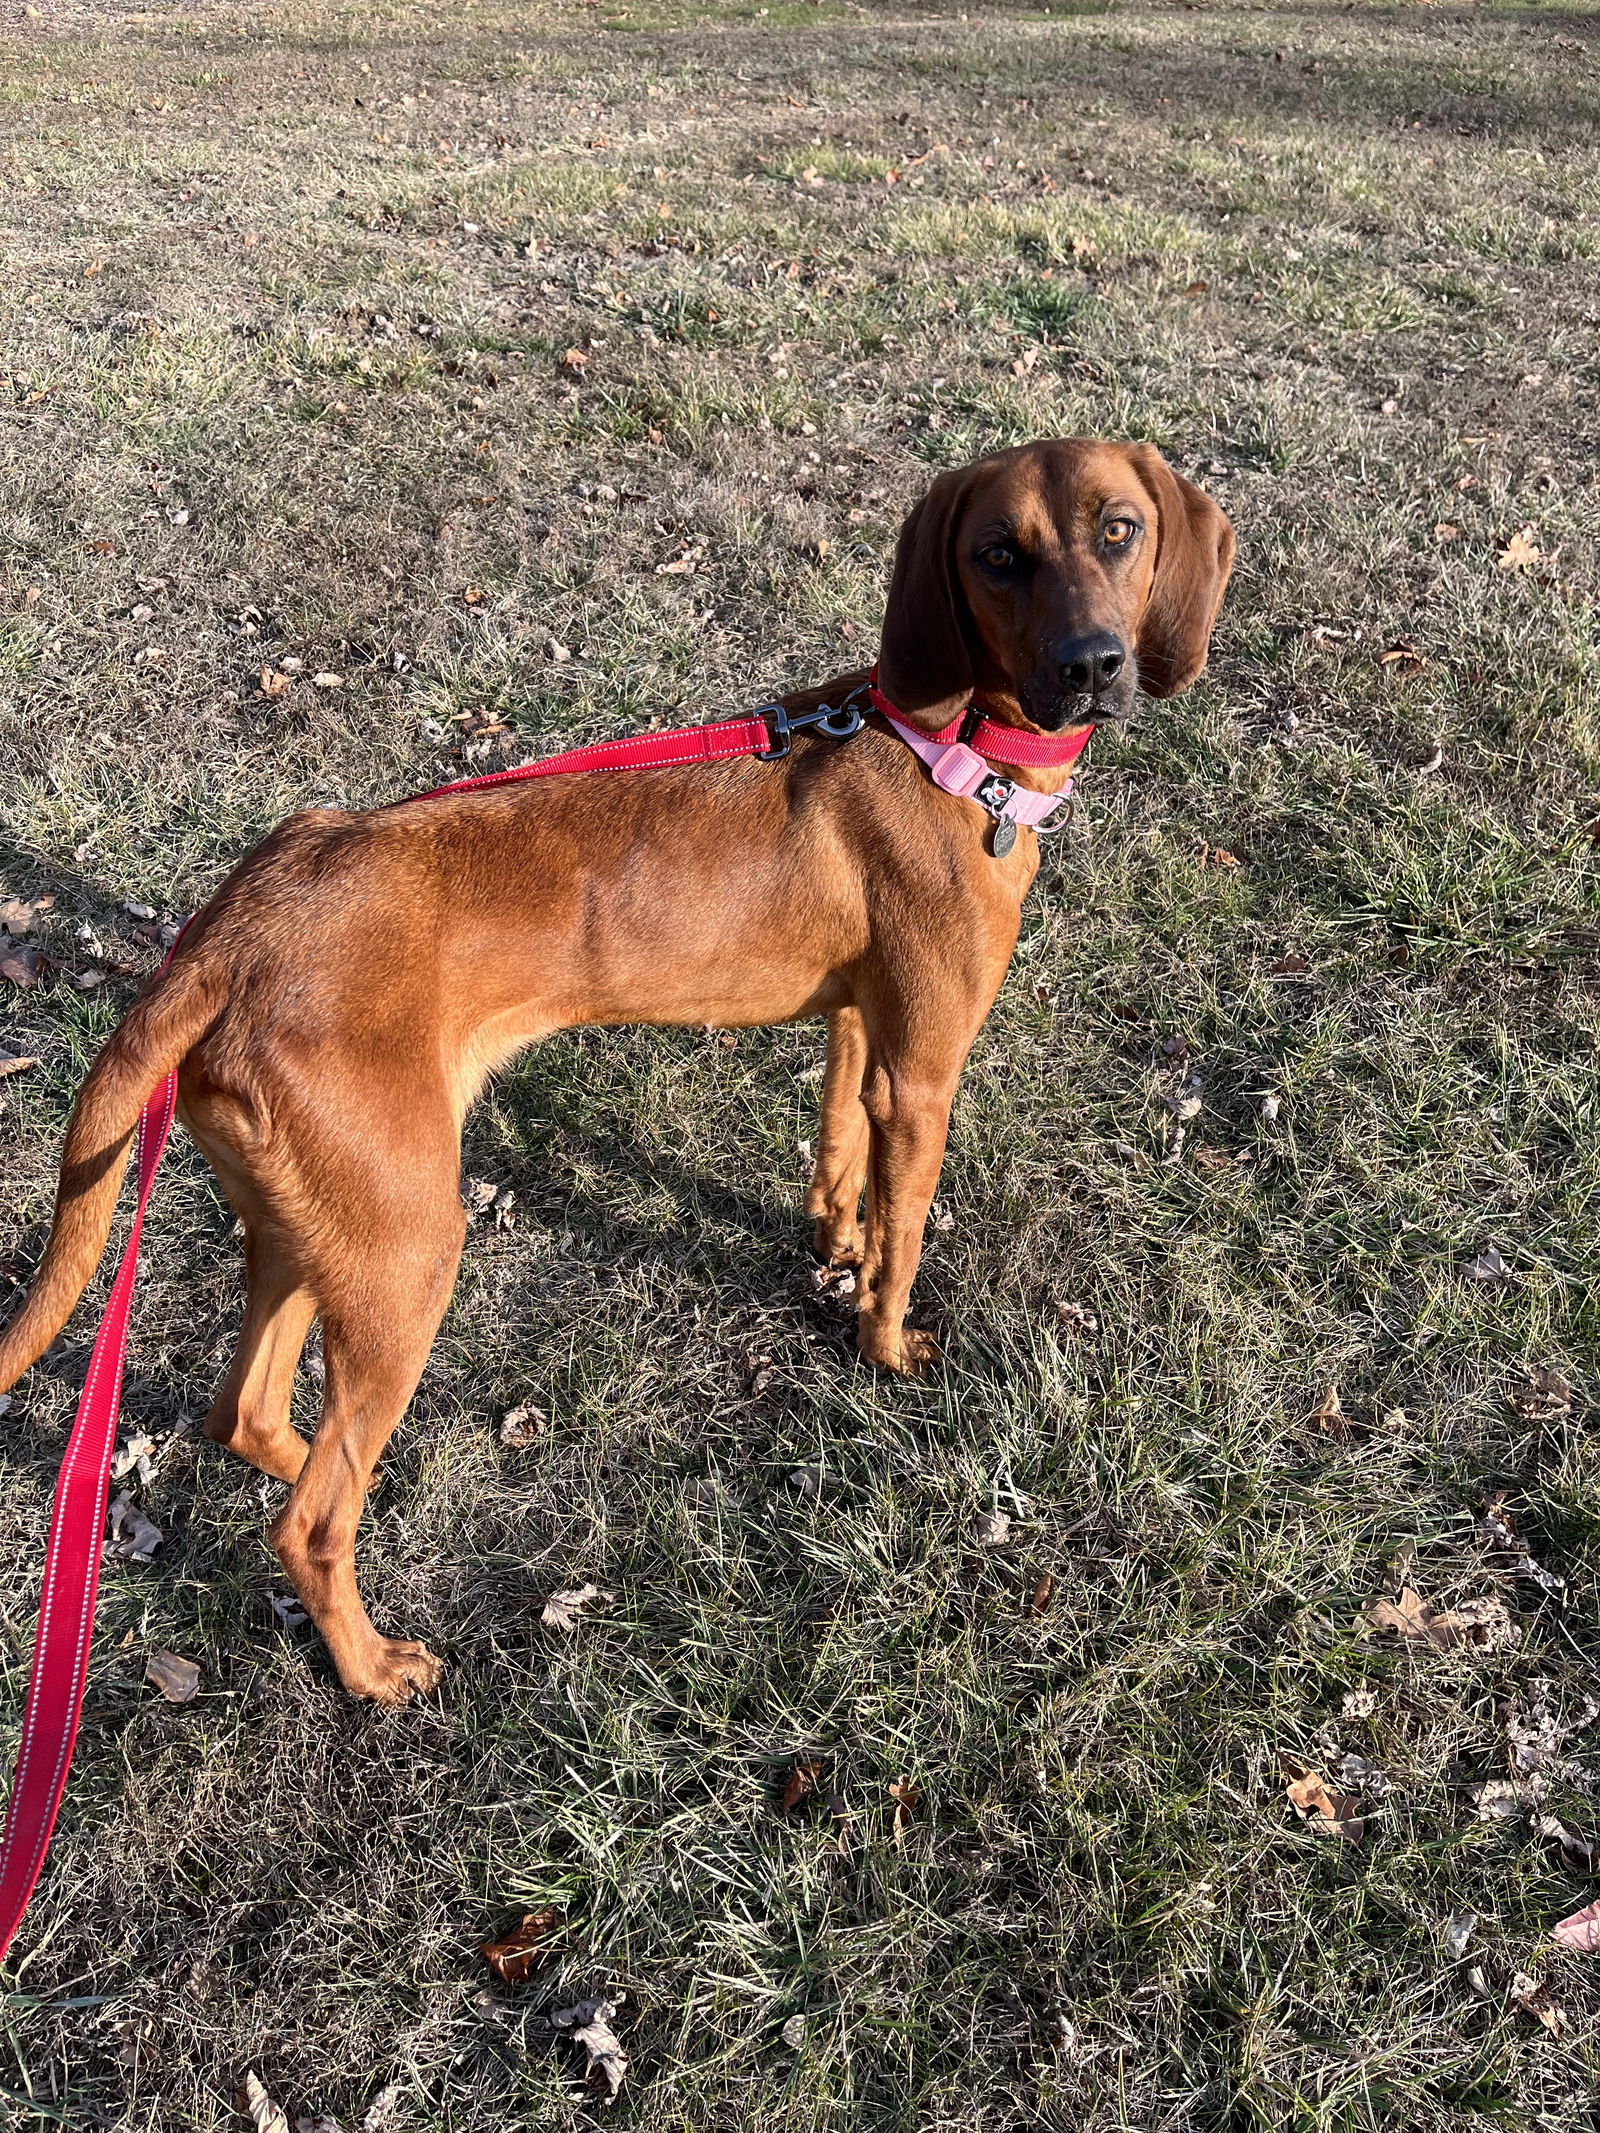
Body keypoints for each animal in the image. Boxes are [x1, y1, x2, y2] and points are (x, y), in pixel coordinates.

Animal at [0, 441, 1237, 1706]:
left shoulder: (860, 1029)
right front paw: (886, 1349)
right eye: (996, 554)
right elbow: (903, 1245)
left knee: (245, 1417)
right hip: (409, 1247)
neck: (944, 748)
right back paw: (370, 1665)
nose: (1092, 668)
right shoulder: (926, 1075)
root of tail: (225, 936)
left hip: (318, 1230)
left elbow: (838, 1151)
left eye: (1120, 530)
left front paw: (833, 1239)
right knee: (309, 1517)